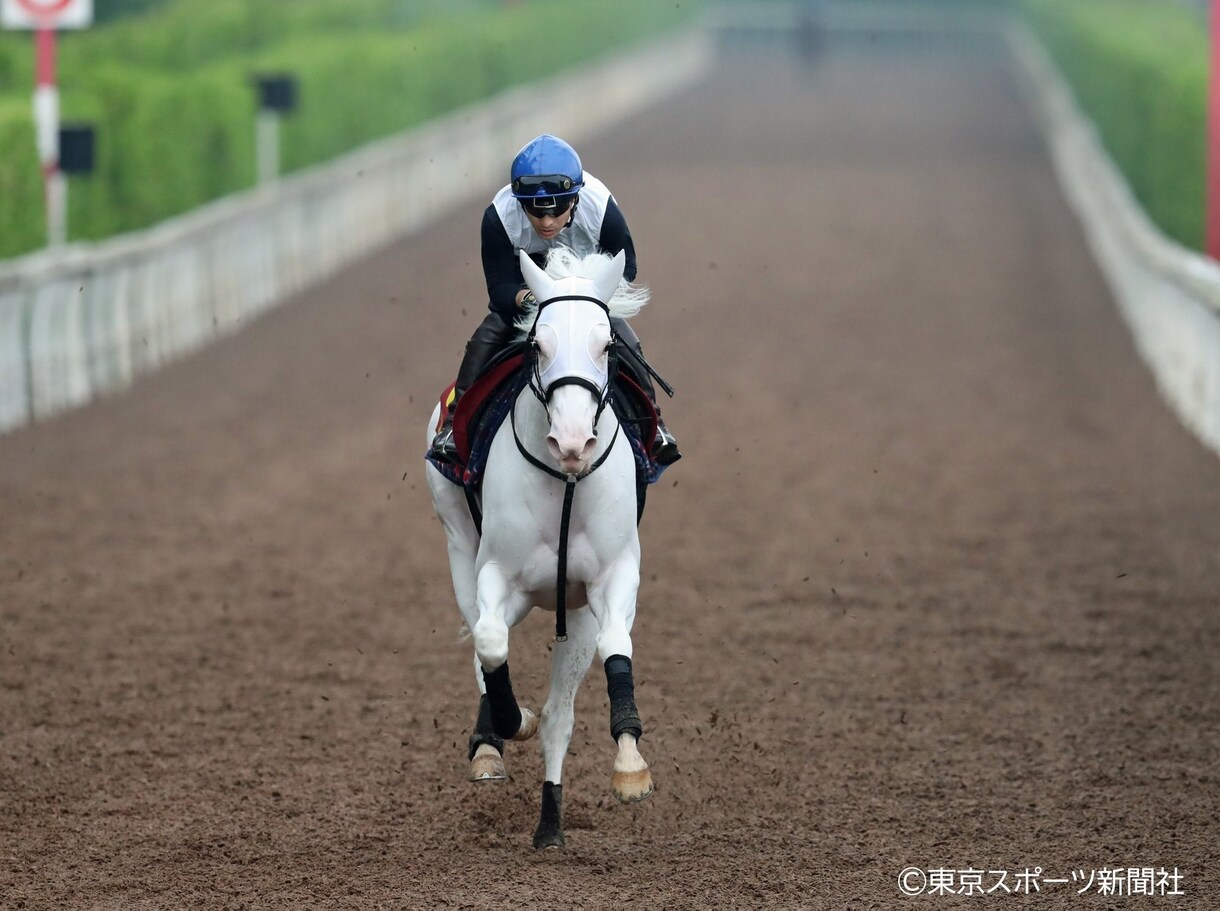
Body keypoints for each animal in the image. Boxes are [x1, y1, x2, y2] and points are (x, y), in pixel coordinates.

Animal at [425, 247, 655, 849]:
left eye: (607, 346)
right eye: (539, 346)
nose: (572, 442)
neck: (565, 481)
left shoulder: (611, 577)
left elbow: (614, 647)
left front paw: (630, 766)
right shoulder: (496, 574)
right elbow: (490, 645)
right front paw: (509, 725)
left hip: (572, 614)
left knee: (562, 715)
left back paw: (551, 823)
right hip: (458, 542)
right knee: (484, 645)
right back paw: (490, 747)